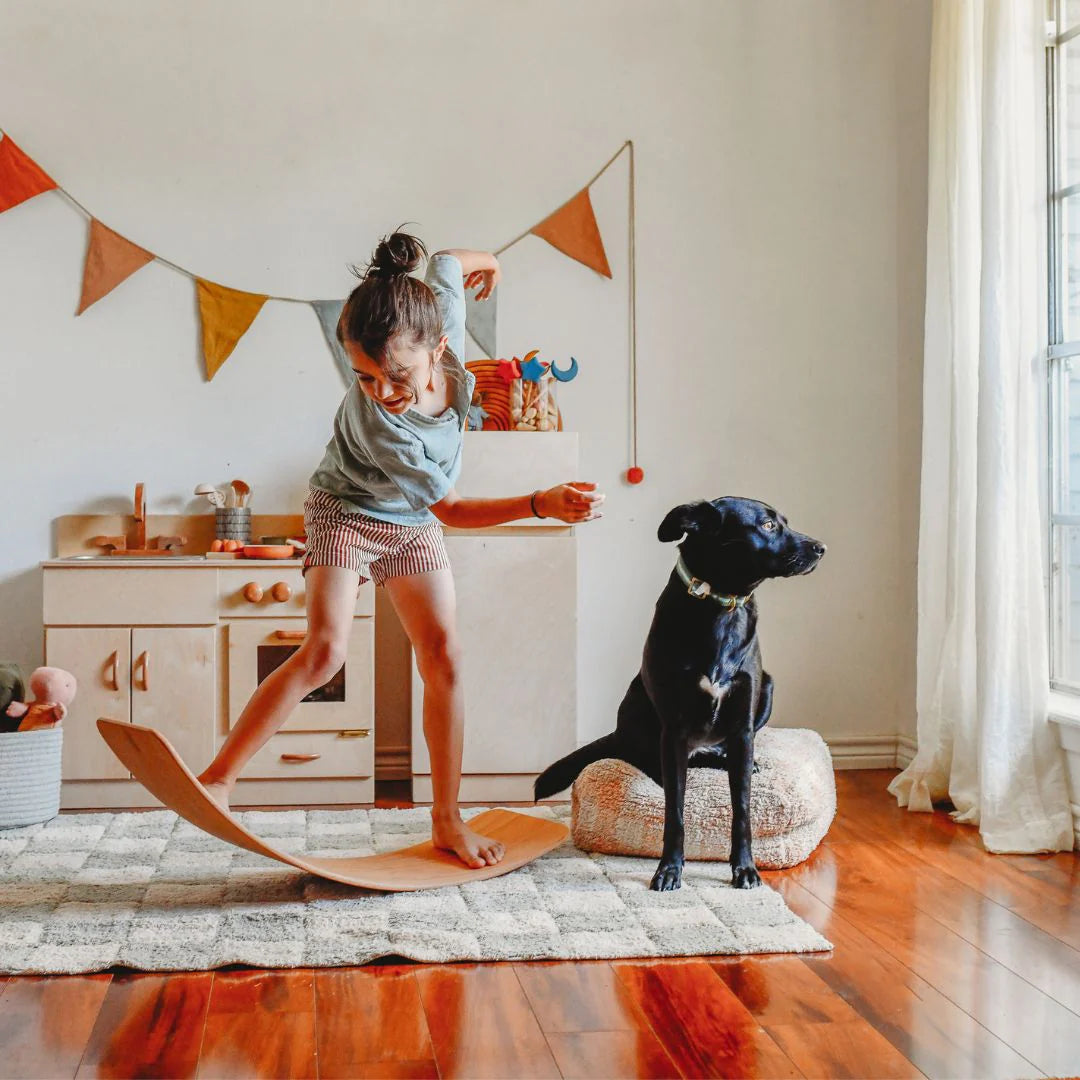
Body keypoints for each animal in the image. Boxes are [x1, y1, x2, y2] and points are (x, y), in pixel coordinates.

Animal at [533, 501, 825, 889]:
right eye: (767, 525)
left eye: (784, 523)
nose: (821, 548)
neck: (721, 605)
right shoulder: (673, 731)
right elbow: (676, 810)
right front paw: (669, 869)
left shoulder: (743, 728)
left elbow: (743, 809)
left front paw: (745, 868)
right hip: (638, 706)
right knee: (645, 757)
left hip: (768, 687)